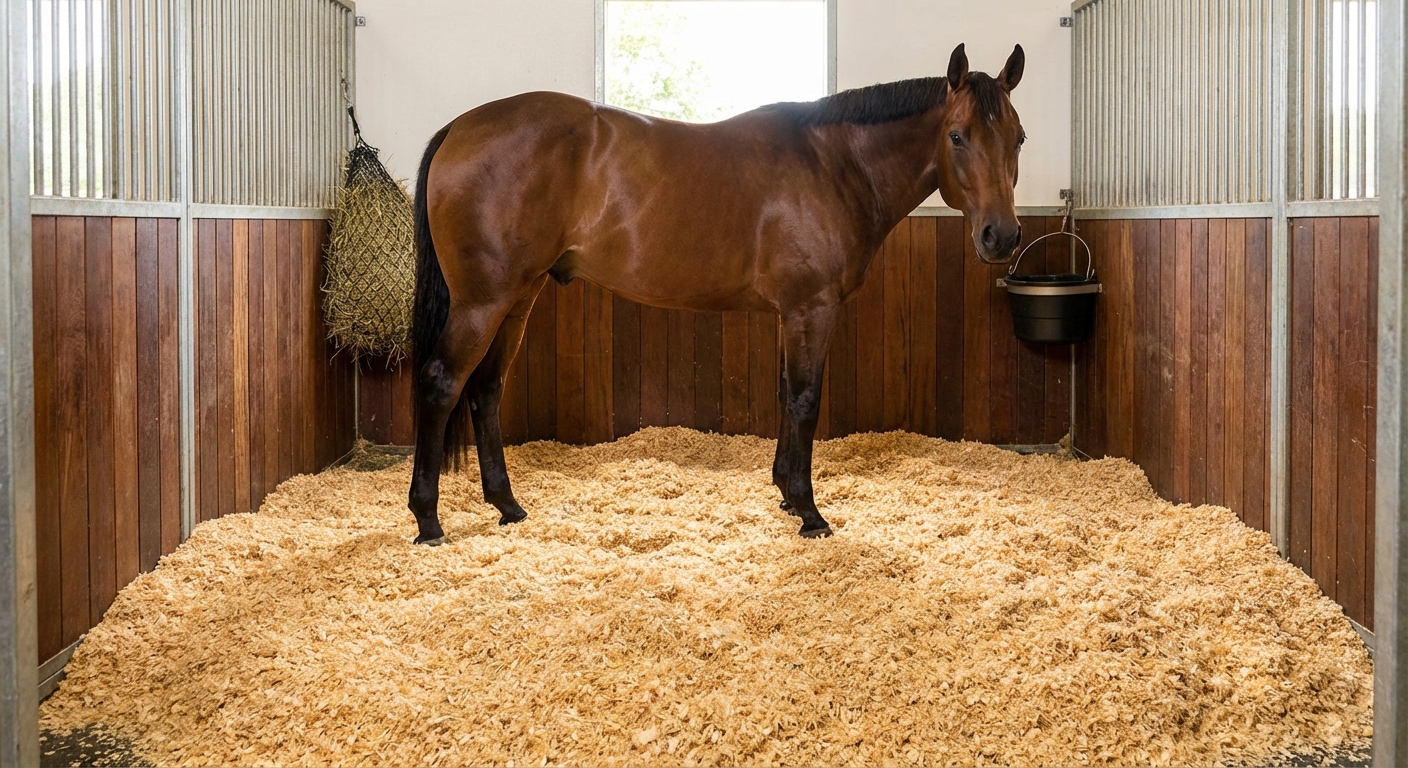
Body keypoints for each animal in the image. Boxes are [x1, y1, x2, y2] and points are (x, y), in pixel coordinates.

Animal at [408, 43, 1027, 545]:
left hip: (519, 295)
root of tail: (458, 128)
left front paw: (785, 494)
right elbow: (805, 400)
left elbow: (785, 395)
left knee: (486, 388)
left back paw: (507, 506)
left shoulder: (790, 313)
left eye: (1018, 138)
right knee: (442, 382)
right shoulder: (811, 309)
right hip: (483, 301)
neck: (834, 165)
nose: (1001, 236)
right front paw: (810, 512)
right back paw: (428, 520)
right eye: (957, 136)